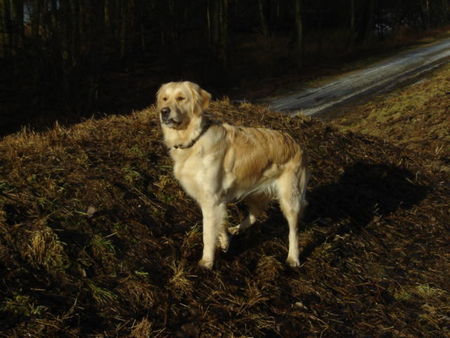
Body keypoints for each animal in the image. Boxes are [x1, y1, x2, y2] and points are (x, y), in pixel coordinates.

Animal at [156, 80, 308, 268]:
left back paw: (293, 258)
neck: (194, 139)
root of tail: (295, 142)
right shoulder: (212, 199)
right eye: (164, 99)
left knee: (293, 230)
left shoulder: (211, 198)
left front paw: (207, 262)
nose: (164, 111)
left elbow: (207, 233)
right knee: (255, 215)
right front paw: (225, 242)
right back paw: (236, 229)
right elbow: (219, 223)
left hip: (290, 198)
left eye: (181, 98)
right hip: (252, 191)